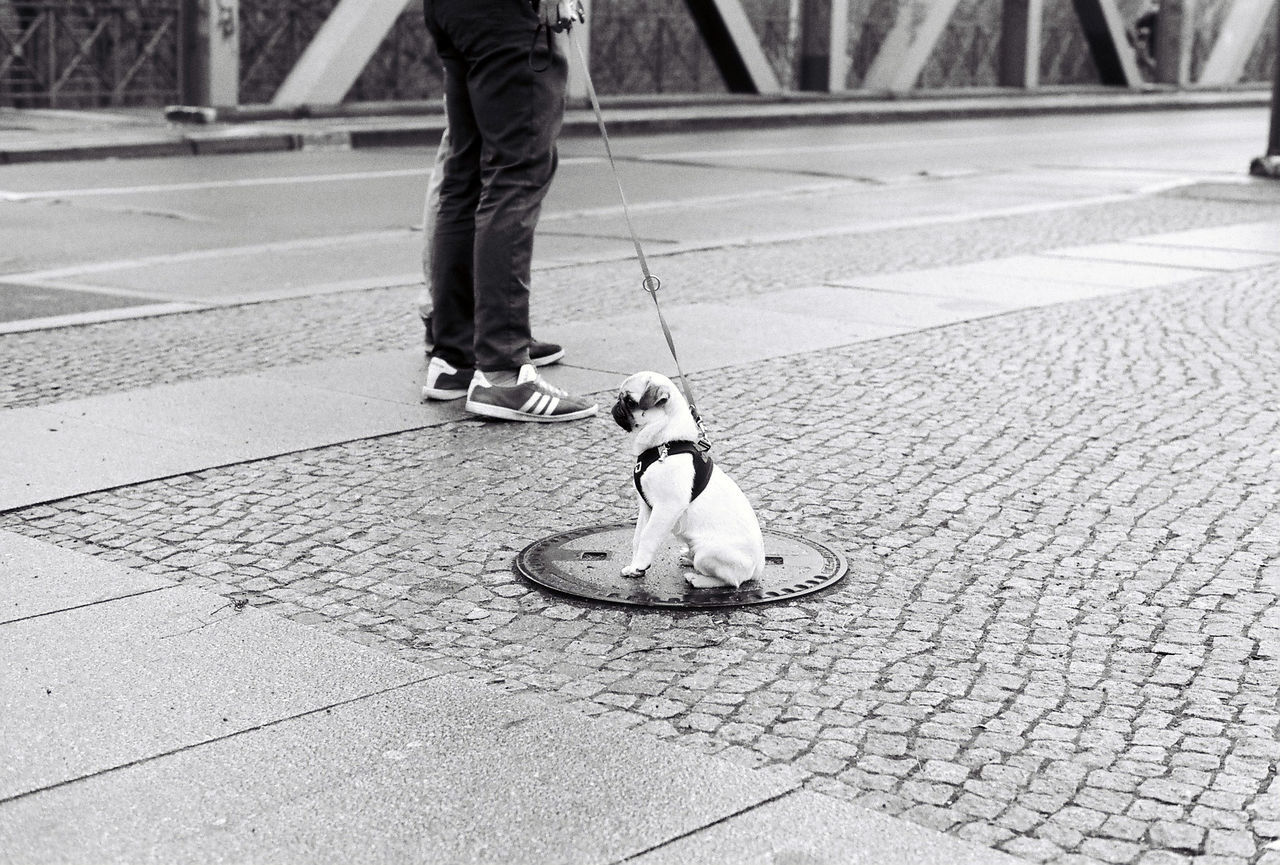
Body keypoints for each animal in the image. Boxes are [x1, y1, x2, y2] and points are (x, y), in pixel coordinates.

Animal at [606, 371, 757, 588]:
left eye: (629, 401)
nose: (616, 404)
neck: (665, 444)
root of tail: (758, 567)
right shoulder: (646, 508)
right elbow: (638, 537)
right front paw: (634, 566)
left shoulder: (667, 508)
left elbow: (648, 537)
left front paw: (640, 566)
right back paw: (688, 558)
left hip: (708, 553)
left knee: (731, 581)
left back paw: (698, 578)